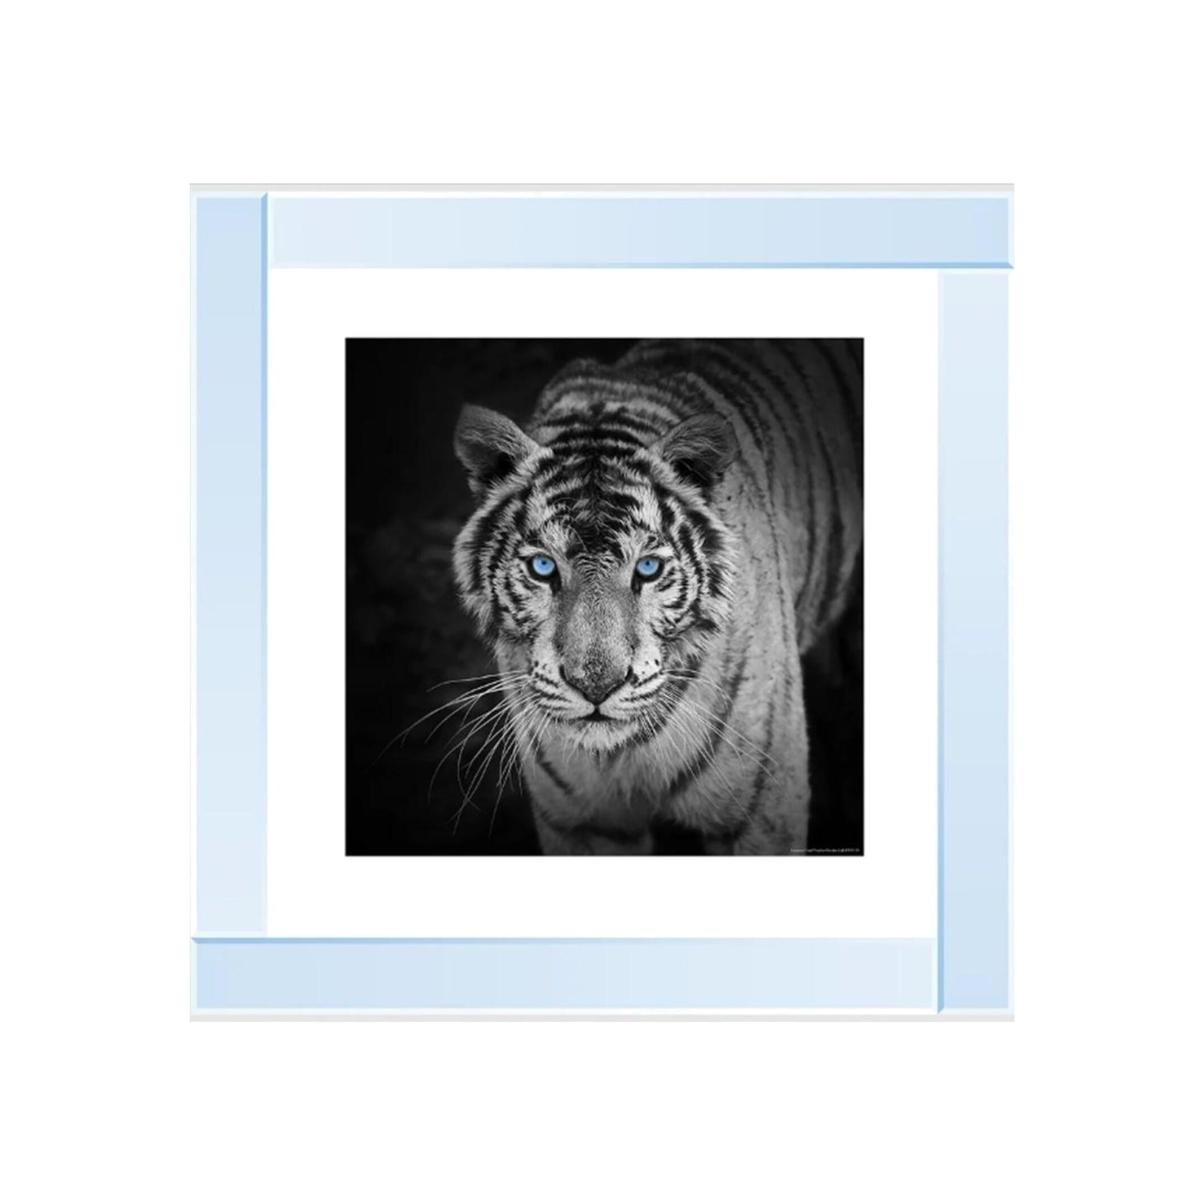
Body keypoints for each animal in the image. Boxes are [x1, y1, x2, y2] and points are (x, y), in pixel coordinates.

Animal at [452, 339, 862, 855]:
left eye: (647, 568)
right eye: (543, 567)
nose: (596, 687)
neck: (621, 755)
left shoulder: (761, 812)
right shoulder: (583, 823)